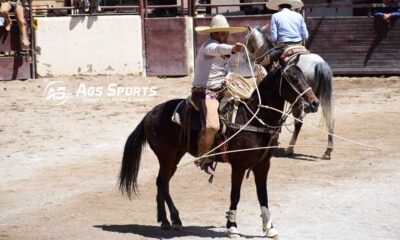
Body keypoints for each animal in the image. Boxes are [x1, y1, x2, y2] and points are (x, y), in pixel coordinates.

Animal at [118, 64, 318, 238]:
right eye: (293, 79)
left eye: (304, 77)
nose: (314, 103)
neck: (253, 118)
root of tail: (150, 114)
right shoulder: (238, 166)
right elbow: (235, 195)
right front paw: (232, 228)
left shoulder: (263, 165)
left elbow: (263, 196)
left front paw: (269, 228)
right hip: (167, 157)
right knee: (162, 182)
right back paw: (175, 219)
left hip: (174, 157)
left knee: (162, 182)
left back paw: (165, 220)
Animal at [244, 26, 334, 159]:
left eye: (246, 39)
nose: (246, 57)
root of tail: (320, 64)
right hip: (320, 98)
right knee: (329, 118)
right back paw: (328, 151)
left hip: (300, 102)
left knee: (299, 123)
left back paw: (290, 149)